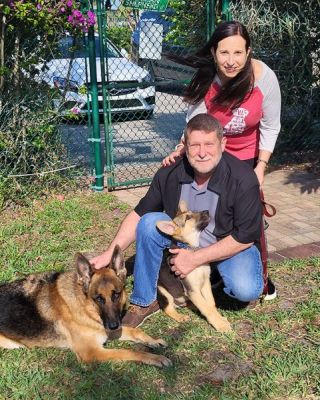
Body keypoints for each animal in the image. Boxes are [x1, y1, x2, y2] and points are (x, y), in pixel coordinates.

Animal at [0, 247, 171, 368]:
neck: (84, 307)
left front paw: (153, 341)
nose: (113, 325)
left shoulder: (106, 330)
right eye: (98, 298)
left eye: (116, 295)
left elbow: (134, 331)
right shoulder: (92, 352)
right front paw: (155, 358)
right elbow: (129, 351)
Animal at [156, 202, 231, 332]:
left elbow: (210, 304)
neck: (192, 249)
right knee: (168, 308)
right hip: (163, 291)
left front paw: (220, 318)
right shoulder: (192, 290)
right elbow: (207, 308)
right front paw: (220, 325)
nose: (207, 211)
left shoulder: (205, 283)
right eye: (188, 218)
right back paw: (181, 317)